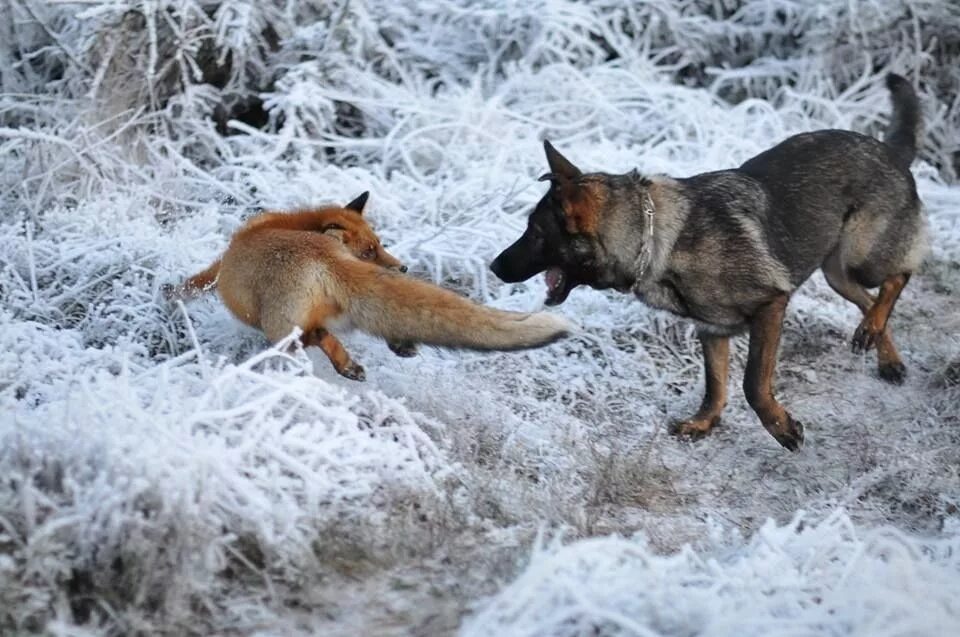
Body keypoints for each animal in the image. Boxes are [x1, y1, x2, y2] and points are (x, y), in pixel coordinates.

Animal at [169, 190, 572, 378]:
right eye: (371, 250)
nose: (403, 267)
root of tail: (324, 256)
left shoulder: (219, 267)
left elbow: (195, 283)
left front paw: (171, 296)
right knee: (336, 331)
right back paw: (367, 358)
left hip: (280, 331)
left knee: (311, 339)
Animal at [492, 74, 928, 450]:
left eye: (535, 234)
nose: (494, 267)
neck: (656, 239)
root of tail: (889, 151)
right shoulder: (712, 330)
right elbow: (715, 386)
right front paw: (703, 424)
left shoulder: (771, 306)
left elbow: (752, 384)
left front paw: (783, 428)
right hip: (836, 272)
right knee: (867, 297)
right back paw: (884, 352)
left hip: (860, 256)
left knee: (898, 276)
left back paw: (873, 328)